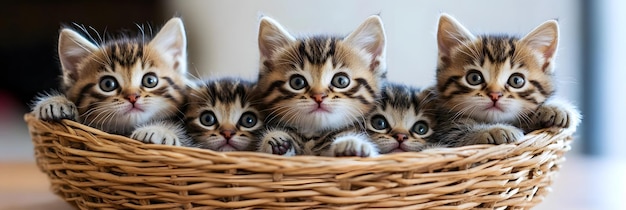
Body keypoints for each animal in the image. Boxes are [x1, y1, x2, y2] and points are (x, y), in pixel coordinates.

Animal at [254, 16, 386, 158]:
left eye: (341, 80)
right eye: (297, 82)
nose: (319, 96)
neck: (314, 136)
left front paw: (351, 144)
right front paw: (278, 144)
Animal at [432, 13, 576, 148]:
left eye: (516, 80)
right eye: (474, 78)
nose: (495, 95)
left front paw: (554, 108)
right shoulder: (446, 130)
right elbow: (458, 134)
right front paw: (494, 130)